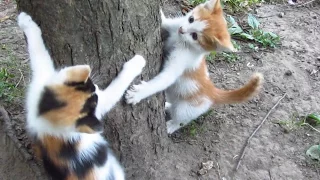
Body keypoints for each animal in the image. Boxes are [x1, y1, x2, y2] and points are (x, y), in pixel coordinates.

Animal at [18, 11, 146, 179]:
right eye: (95, 93)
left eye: (91, 84)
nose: (97, 87)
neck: (44, 115)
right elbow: (116, 88)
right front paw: (137, 63)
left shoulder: (39, 86)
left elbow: (38, 53)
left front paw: (25, 21)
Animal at [125, 0, 262, 134]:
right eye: (191, 19)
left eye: (195, 36)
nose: (181, 30)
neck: (179, 39)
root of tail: (212, 92)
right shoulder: (174, 24)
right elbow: (164, 21)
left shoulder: (180, 62)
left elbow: (164, 79)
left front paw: (139, 93)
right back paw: (168, 106)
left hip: (186, 108)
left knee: (181, 119)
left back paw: (171, 125)